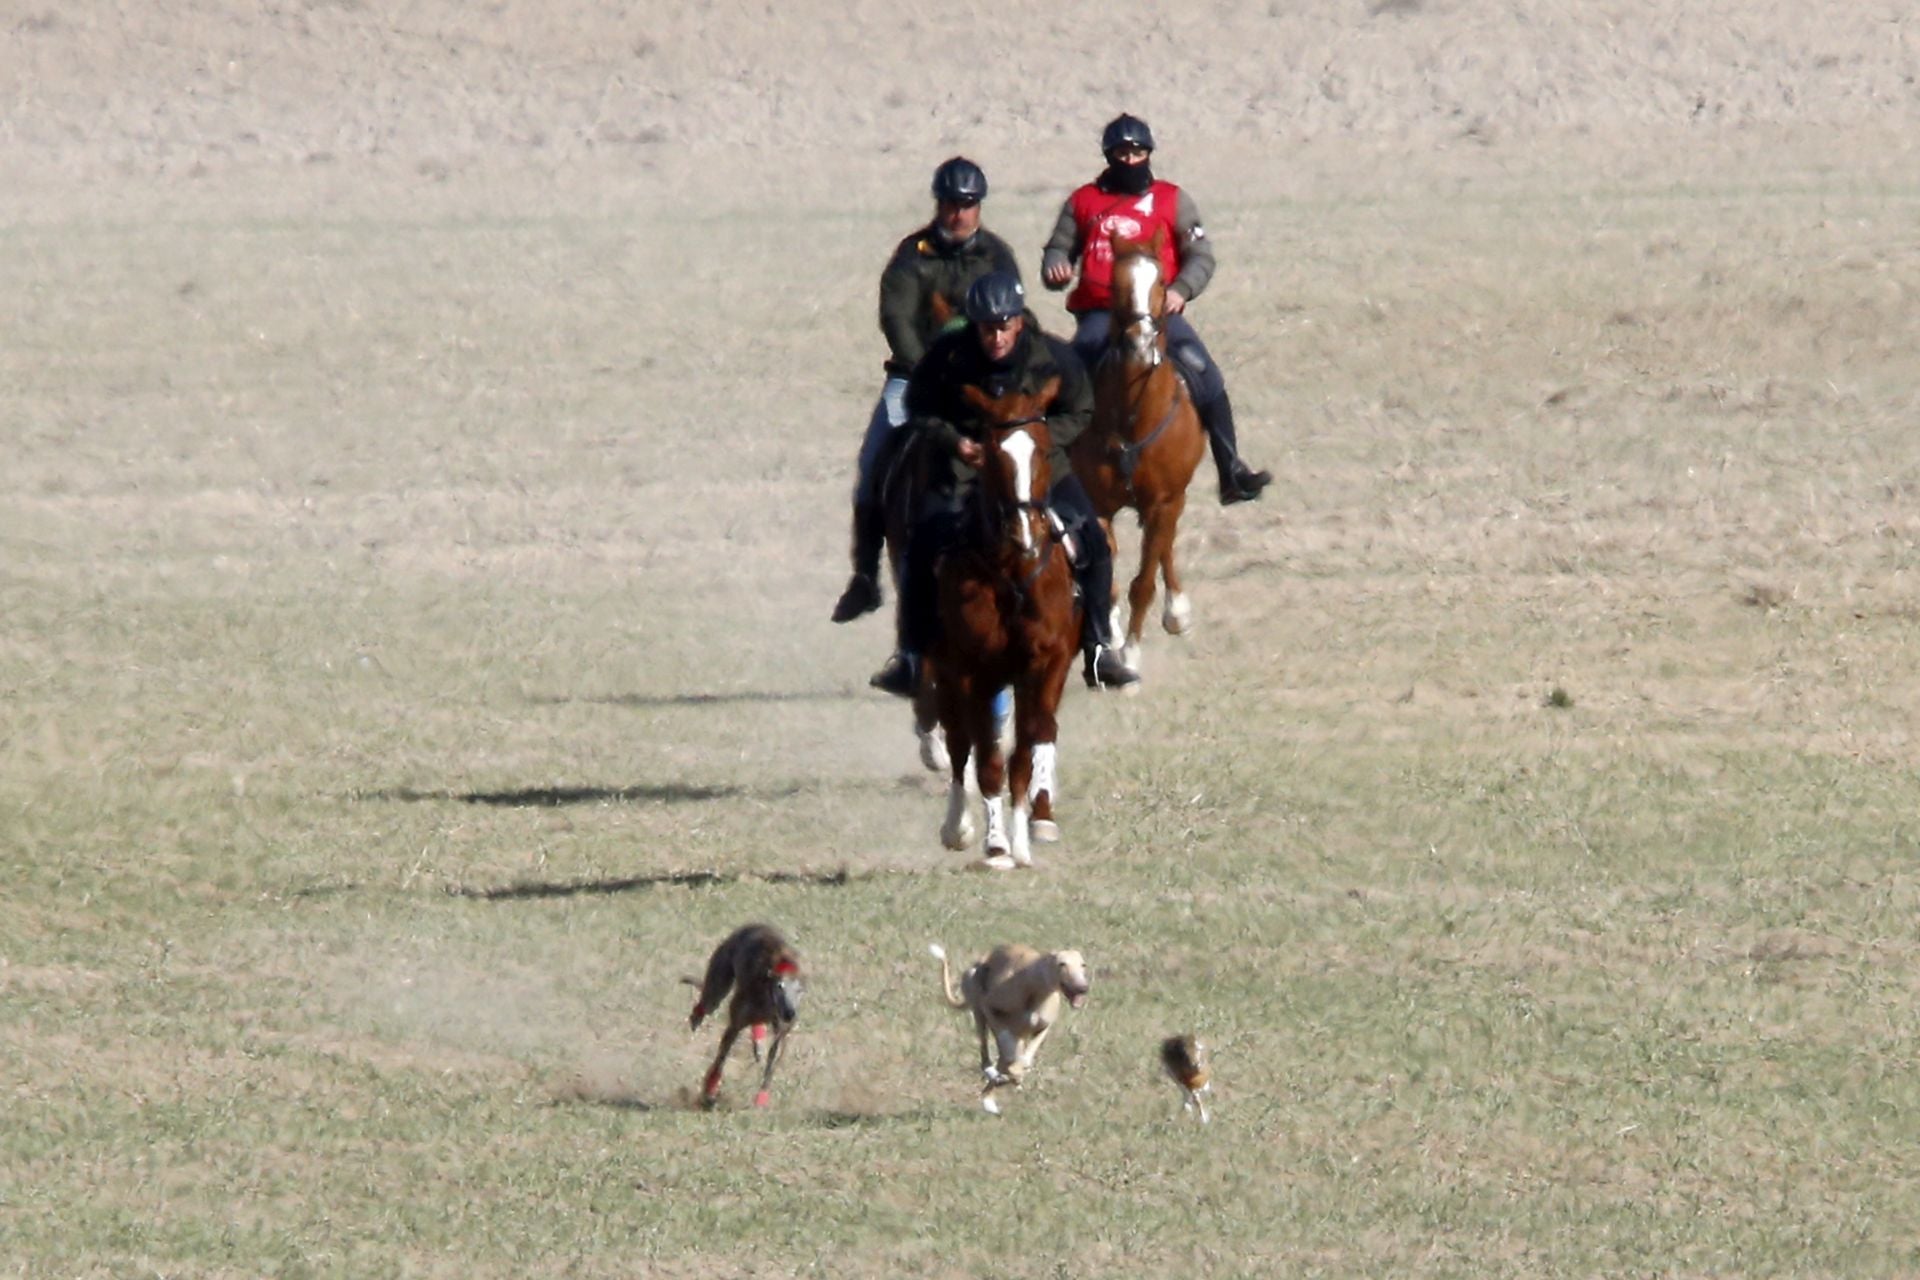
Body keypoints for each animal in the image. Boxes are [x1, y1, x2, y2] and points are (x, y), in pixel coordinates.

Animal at [687, 921, 798, 1113]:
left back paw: (758, 1041)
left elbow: (772, 1062)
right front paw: (709, 1092)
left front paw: (762, 1099)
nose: (790, 1014)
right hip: (719, 980)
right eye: (780, 986)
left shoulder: (780, 1033)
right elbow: (720, 1060)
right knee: (708, 1003)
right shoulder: (735, 1025)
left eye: (799, 989)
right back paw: (696, 1017)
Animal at [929, 378, 1082, 871]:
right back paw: (957, 826)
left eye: (1044, 449)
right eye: (993, 454)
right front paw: (996, 845)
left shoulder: (1043, 665)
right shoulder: (972, 670)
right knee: (961, 745)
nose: (1025, 533)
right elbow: (988, 761)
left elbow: (1025, 753)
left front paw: (1020, 841)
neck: (1011, 568)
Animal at [933, 940, 1090, 1113]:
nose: (1083, 988)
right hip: (977, 1001)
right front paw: (1009, 1073)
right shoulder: (991, 1009)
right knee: (988, 1054)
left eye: (1083, 965)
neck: (1035, 988)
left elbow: (1025, 1058)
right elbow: (1008, 1051)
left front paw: (1016, 1075)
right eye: (1062, 964)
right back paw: (994, 1079)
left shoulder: (1043, 1027)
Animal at [1067, 225, 1198, 675]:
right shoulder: (1098, 505)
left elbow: (1143, 581)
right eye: (1115, 284)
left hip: (1171, 501)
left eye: (1159, 282)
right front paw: (1111, 643)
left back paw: (1177, 611)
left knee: (1164, 549)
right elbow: (1107, 577)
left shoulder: (1162, 501)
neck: (1132, 413)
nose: (1141, 343)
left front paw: (1131, 653)